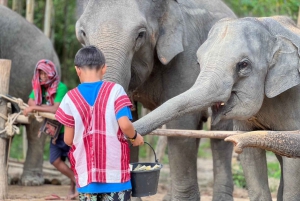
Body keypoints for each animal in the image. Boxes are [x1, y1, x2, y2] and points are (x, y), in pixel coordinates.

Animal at [77, 0, 237, 200]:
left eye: (140, 34)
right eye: (82, 32)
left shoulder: (186, 57)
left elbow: (181, 124)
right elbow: (130, 118)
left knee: (220, 135)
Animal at [134, 16, 300, 201]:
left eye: (243, 65)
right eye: (198, 62)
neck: (269, 32)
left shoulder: (294, 98)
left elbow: (293, 162)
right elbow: (251, 155)